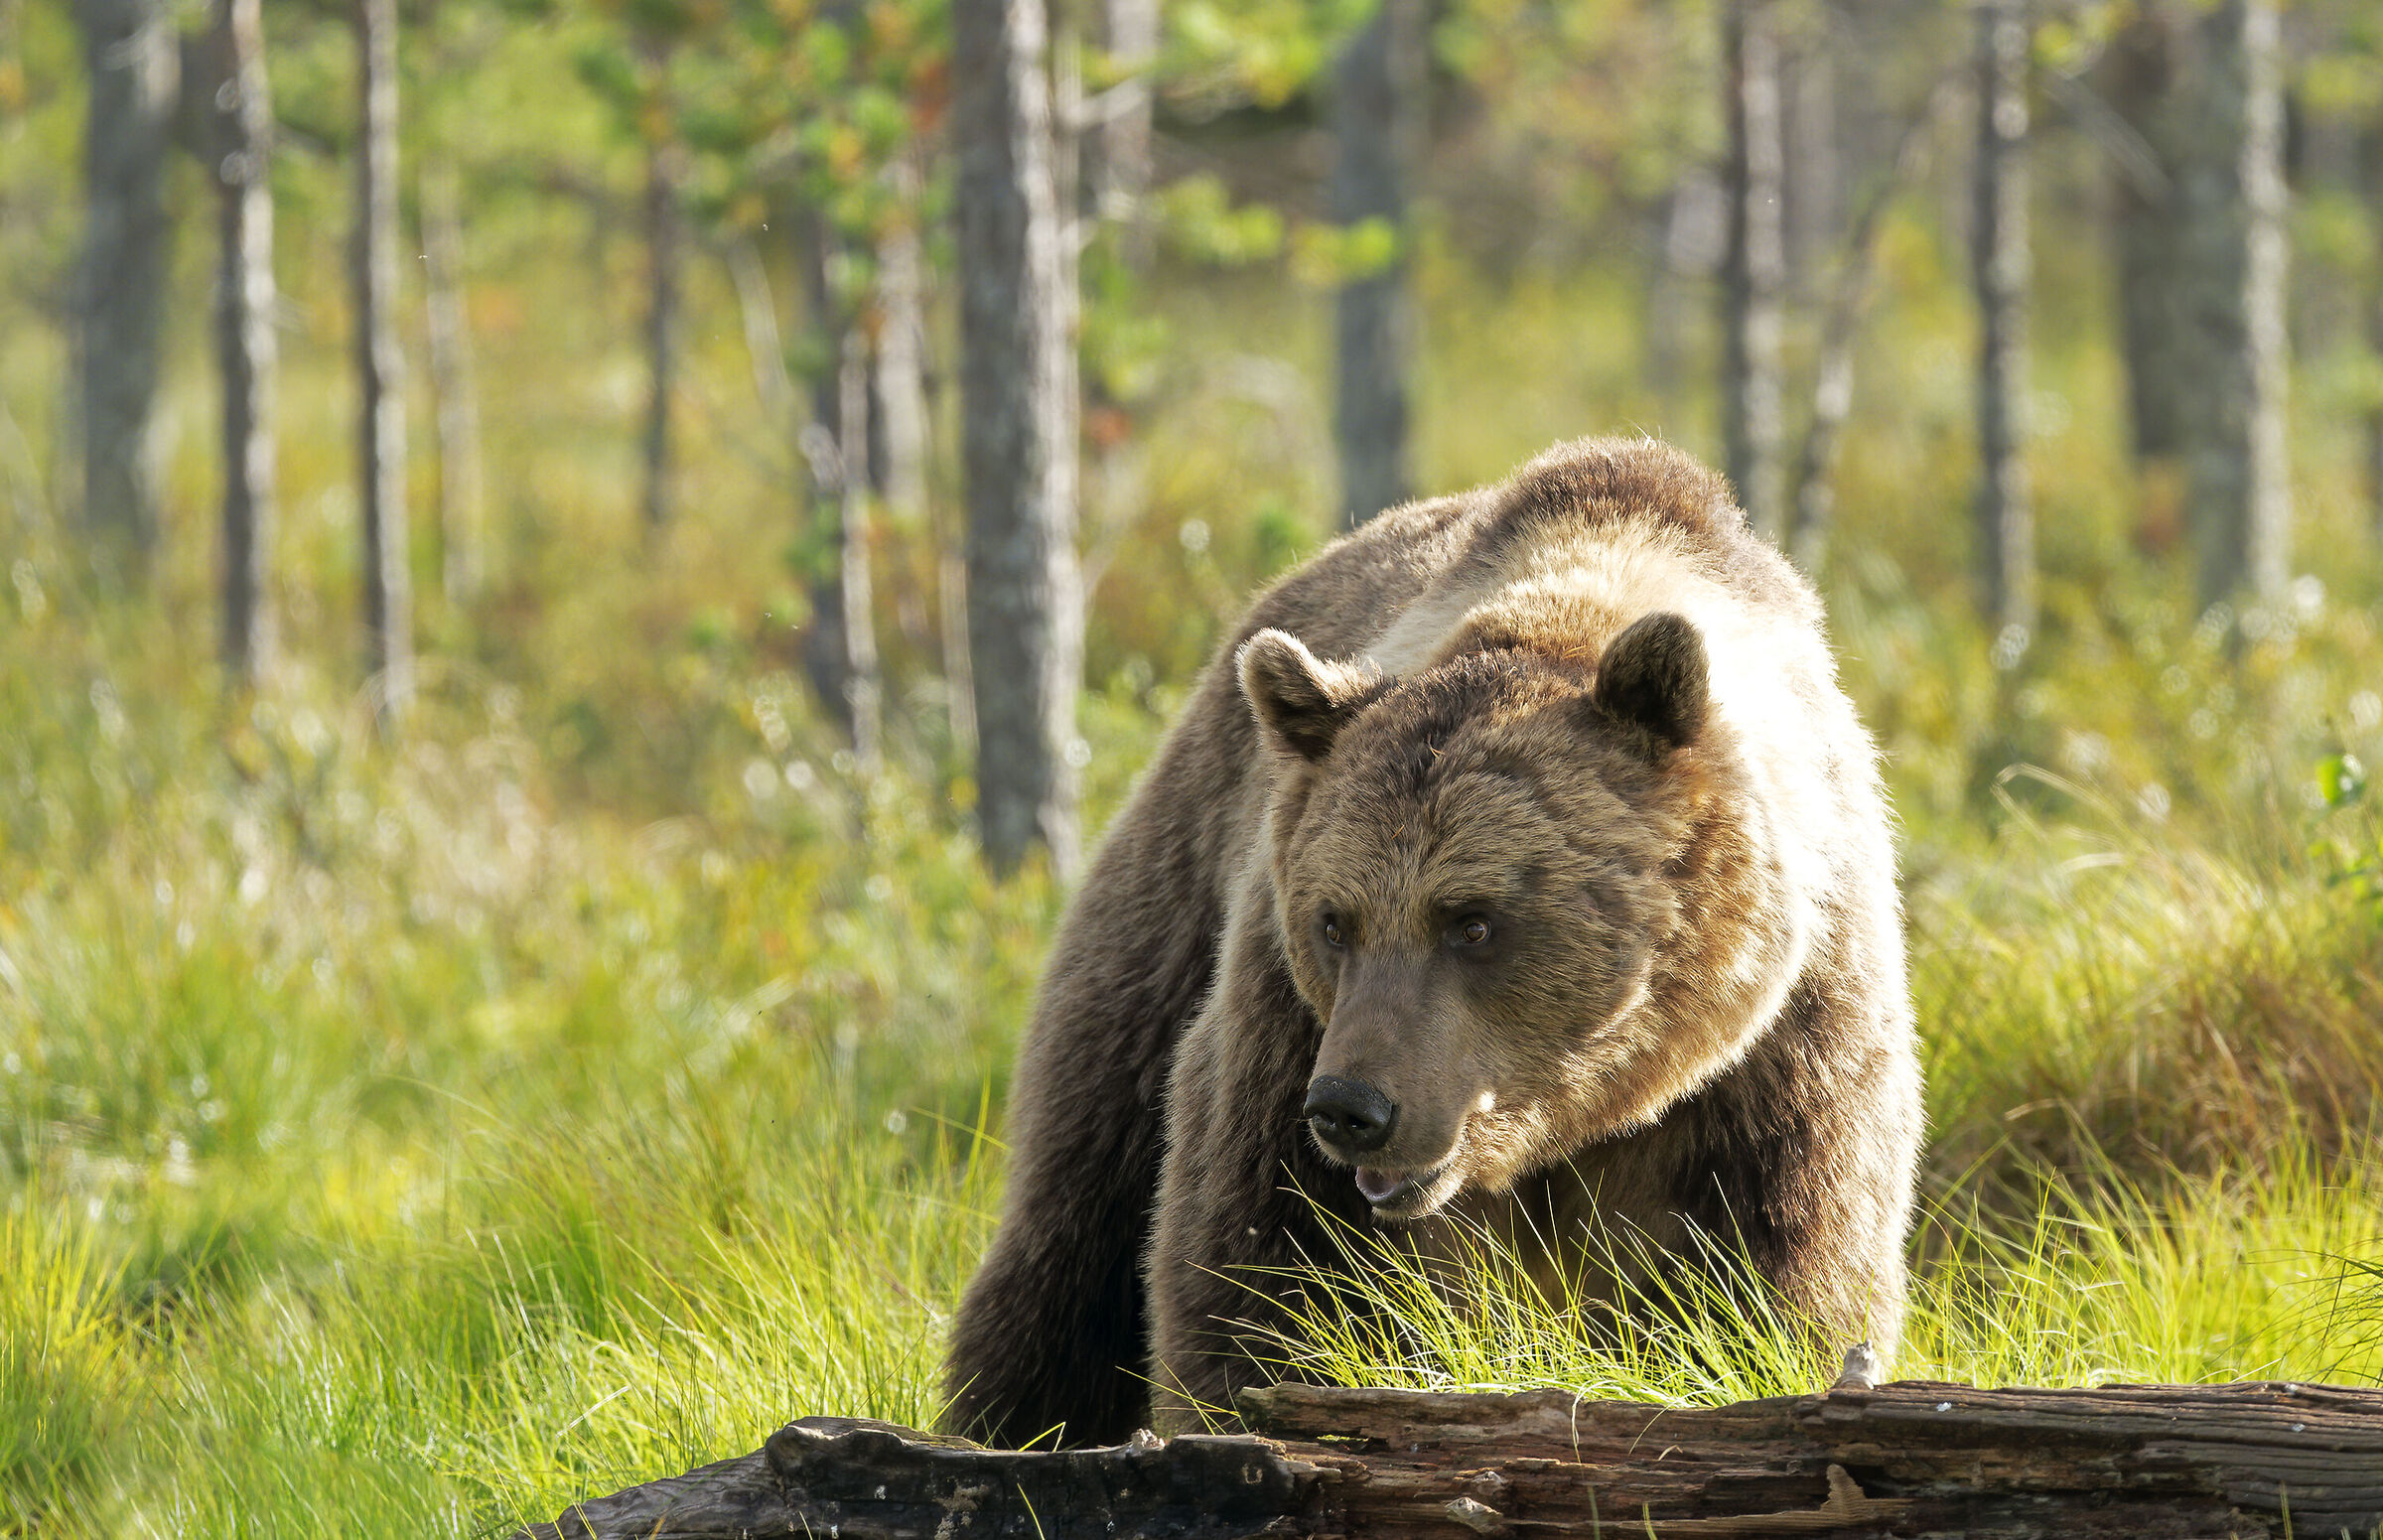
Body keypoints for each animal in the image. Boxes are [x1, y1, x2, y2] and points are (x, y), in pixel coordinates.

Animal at [942, 436, 1921, 1448]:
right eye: (1335, 920)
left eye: (1474, 920)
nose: (1352, 1107)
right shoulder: (1284, 1018)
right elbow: (1269, 1261)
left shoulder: (1779, 1042)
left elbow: (1769, 1269)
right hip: (1174, 896)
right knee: (1079, 1211)